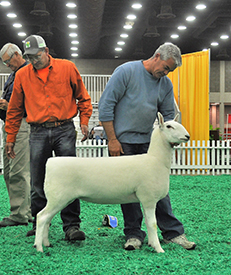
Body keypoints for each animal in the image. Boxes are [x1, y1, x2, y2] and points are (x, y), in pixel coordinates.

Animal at [33, 112, 189, 254]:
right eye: (169, 126)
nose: (187, 136)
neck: (155, 159)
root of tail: (50, 162)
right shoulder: (149, 198)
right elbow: (153, 224)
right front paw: (159, 249)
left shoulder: (145, 200)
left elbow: (149, 223)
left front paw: (151, 244)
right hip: (58, 197)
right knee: (41, 217)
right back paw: (39, 247)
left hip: (59, 199)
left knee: (47, 219)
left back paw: (46, 243)